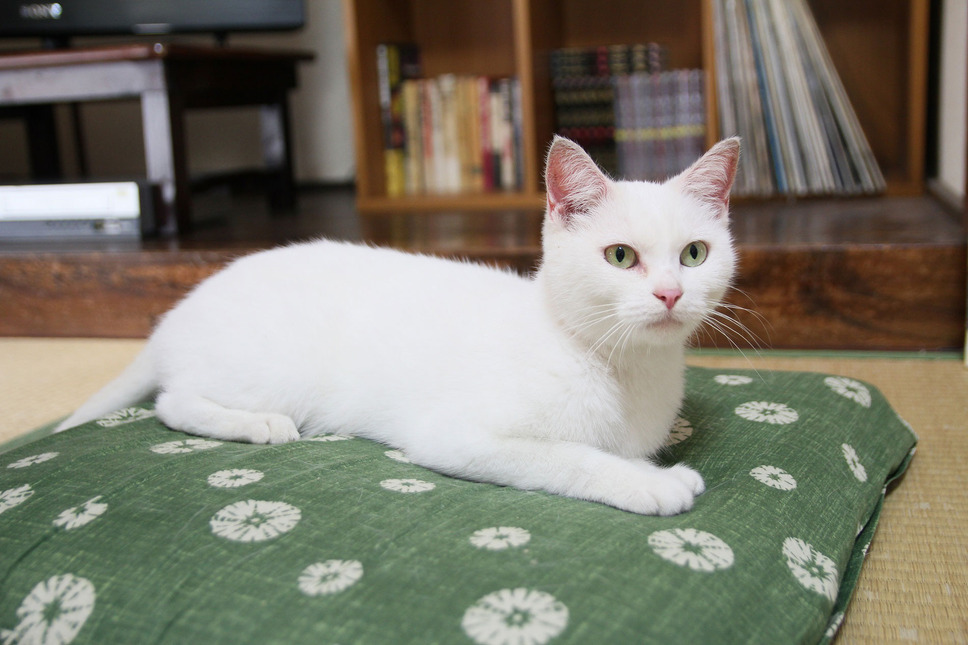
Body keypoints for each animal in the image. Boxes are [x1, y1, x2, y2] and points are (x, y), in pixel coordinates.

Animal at [58, 138, 740, 516]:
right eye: (620, 256)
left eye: (694, 254)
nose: (671, 292)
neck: (622, 369)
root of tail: (179, 310)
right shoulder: (456, 437)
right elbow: (569, 457)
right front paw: (648, 482)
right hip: (267, 374)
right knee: (172, 402)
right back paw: (256, 424)